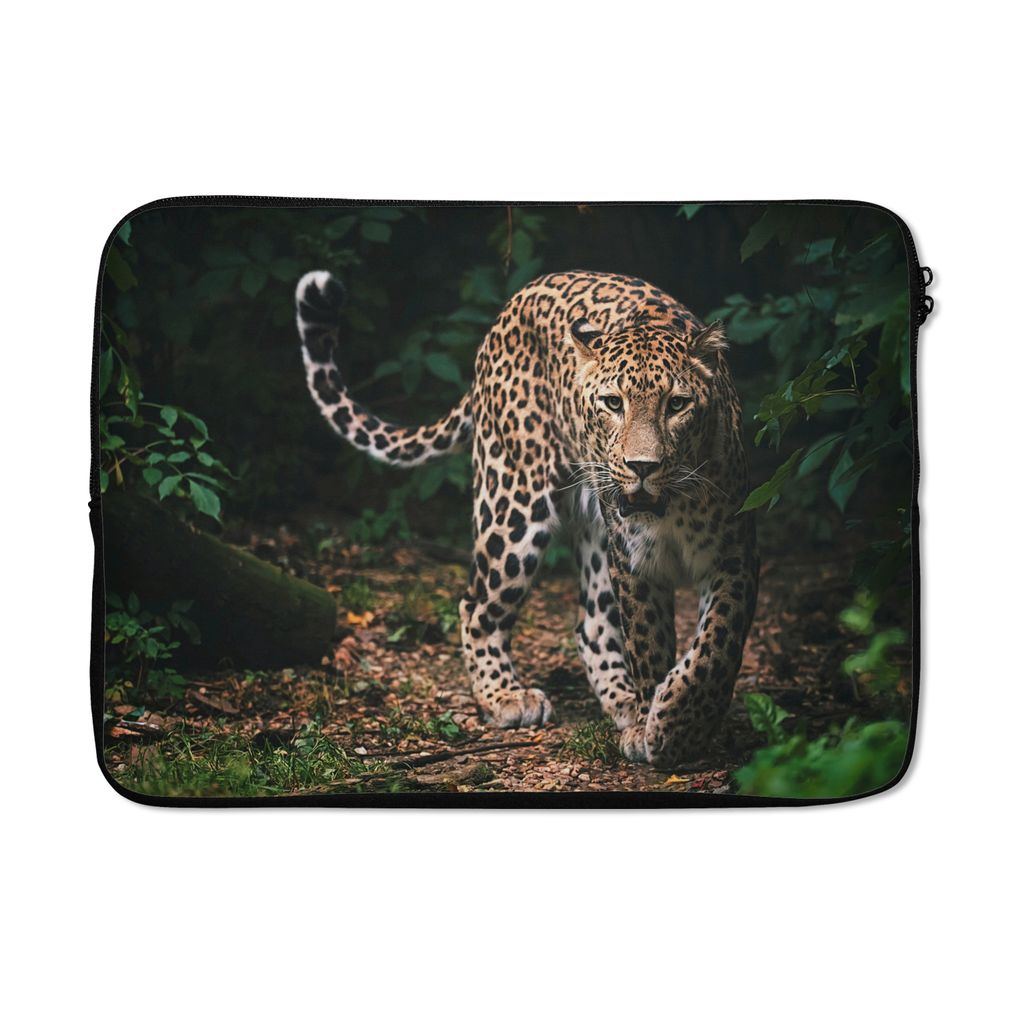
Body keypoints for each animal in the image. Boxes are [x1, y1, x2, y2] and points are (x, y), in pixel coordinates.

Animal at [295, 268, 759, 767]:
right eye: (613, 403)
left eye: (677, 404)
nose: (642, 467)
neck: (670, 507)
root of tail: (513, 304)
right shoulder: (634, 564)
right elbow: (649, 645)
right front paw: (660, 727)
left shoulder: (735, 555)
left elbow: (716, 647)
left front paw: (676, 722)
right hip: (512, 504)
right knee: (476, 605)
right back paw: (507, 697)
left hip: (593, 531)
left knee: (591, 624)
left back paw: (622, 703)